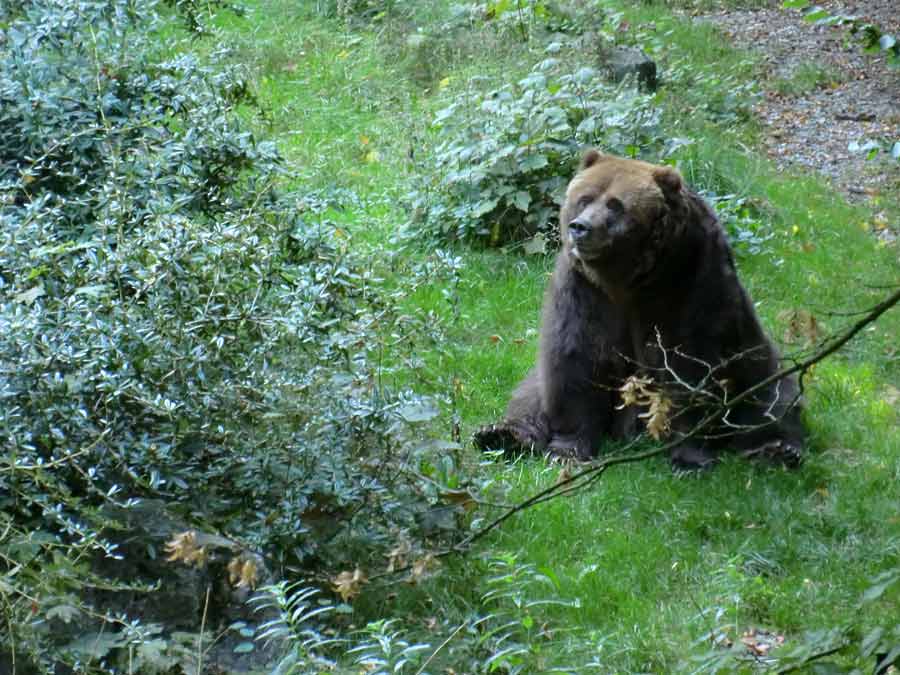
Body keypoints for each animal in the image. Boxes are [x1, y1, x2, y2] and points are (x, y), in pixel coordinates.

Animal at [474, 150, 804, 468]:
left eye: (615, 205)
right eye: (584, 198)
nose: (580, 227)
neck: (629, 278)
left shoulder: (692, 284)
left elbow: (690, 364)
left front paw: (691, 455)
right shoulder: (583, 289)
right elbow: (574, 356)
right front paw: (567, 449)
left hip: (760, 365)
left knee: (773, 401)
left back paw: (777, 449)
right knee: (530, 394)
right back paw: (501, 434)